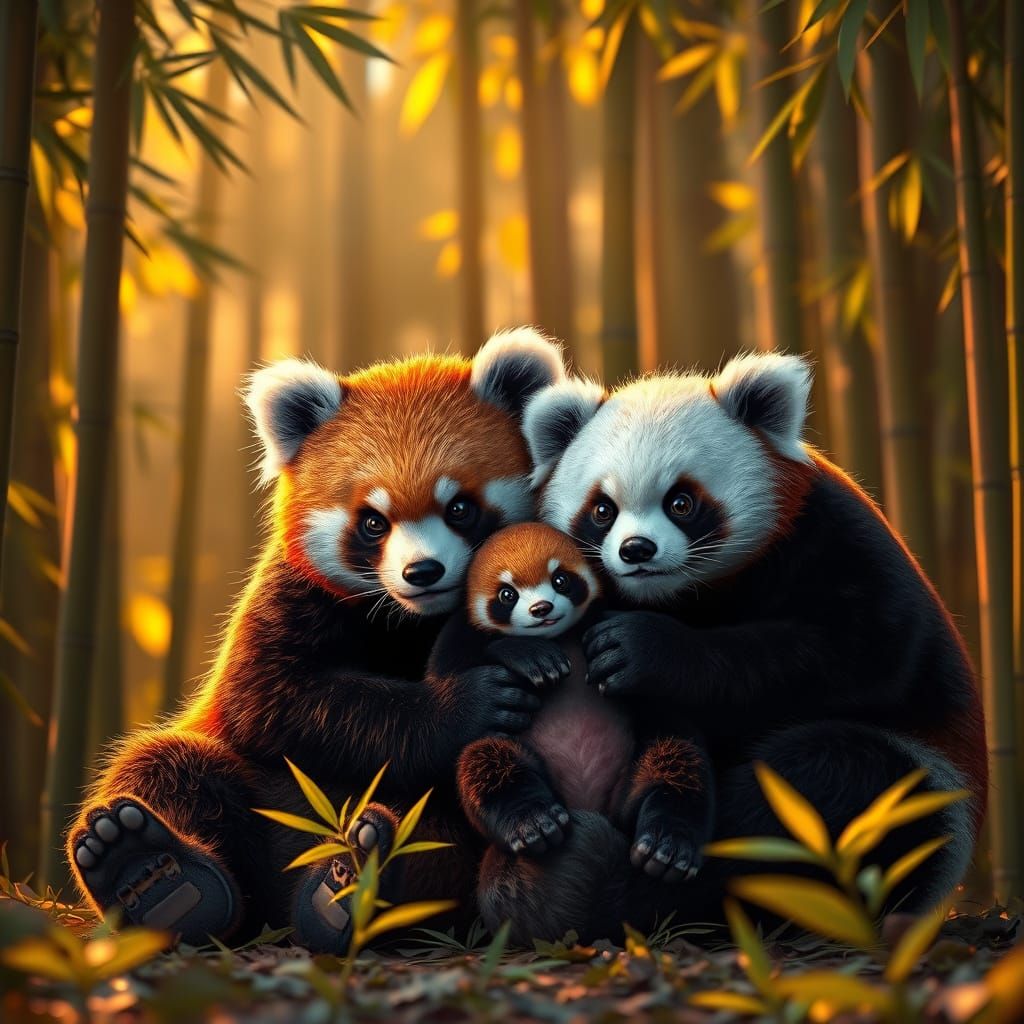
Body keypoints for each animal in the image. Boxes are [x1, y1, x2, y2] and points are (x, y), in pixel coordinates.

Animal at [66, 329, 567, 951]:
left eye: (459, 508)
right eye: (373, 522)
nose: (422, 572)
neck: (411, 619)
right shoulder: (291, 595)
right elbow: (271, 699)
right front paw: (471, 704)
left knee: (440, 839)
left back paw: (348, 891)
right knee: (165, 764)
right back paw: (154, 874)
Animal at [428, 523, 714, 944]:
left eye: (560, 580)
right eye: (507, 594)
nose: (541, 610)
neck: (556, 637)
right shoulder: (457, 639)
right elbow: (446, 680)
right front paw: (527, 656)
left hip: (630, 786)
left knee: (677, 759)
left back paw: (668, 846)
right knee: (488, 759)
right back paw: (533, 822)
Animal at [477, 350, 988, 941]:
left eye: (681, 501)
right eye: (602, 509)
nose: (636, 550)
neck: (682, 596)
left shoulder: (829, 536)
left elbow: (861, 651)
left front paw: (641, 650)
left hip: (928, 787)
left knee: (826, 789)